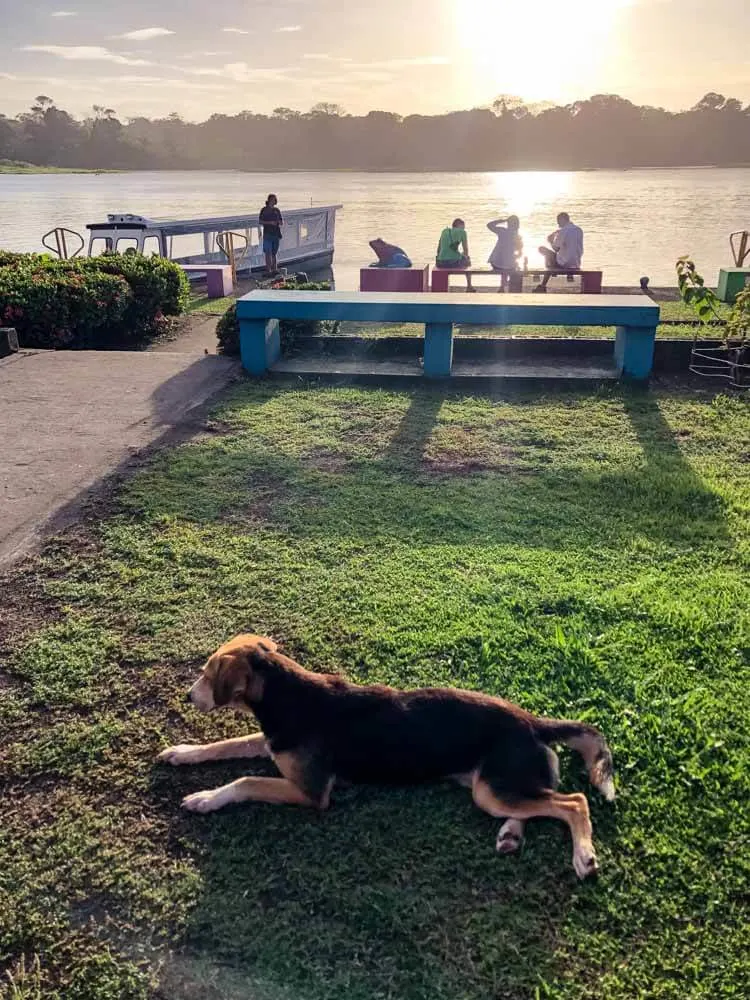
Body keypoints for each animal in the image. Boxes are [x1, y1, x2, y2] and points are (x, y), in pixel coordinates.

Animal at [159, 636, 616, 880]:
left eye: (207, 674)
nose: (188, 697)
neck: (287, 695)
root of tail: (533, 721)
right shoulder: (270, 743)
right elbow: (226, 745)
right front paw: (183, 752)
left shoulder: (310, 791)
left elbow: (245, 781)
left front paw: (205, 799)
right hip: (491, 787)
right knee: (537, 803)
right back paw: (510, 835)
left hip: (492, 787)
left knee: (573, 802)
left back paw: (583, 856)